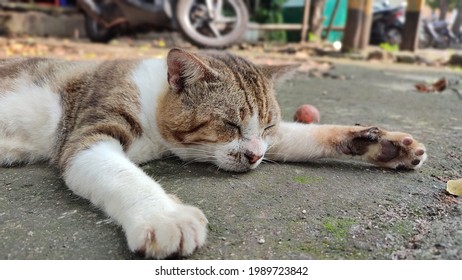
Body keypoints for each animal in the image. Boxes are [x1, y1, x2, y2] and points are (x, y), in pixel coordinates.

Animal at [0, 47, 426, 258]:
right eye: (231, 125)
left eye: (266, 126)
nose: (255, 156)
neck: (154, 99)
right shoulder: (87, 135)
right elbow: (121, 174)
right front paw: (165, 215)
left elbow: (303, 136)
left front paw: (383, 144)